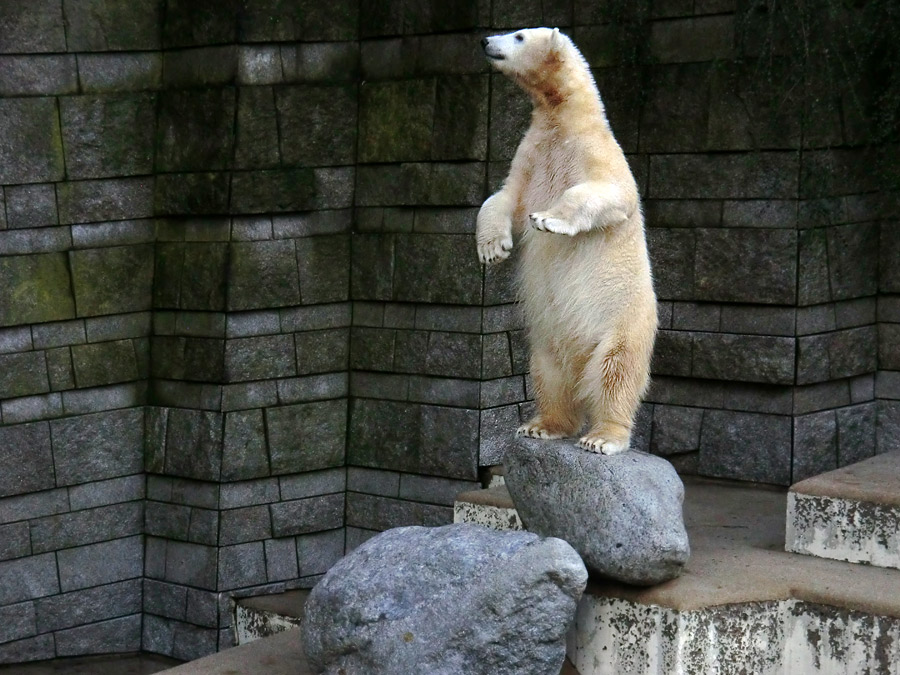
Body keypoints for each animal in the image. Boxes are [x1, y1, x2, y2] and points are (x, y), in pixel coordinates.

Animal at [474, 29, 656, 456]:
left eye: (519, 35)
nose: (486, 39)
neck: (562, 117)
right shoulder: (532, 155)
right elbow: (504, 197)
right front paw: (492, 248)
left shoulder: (594, 151)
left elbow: (609, 192)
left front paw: (548, 219)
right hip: (548, 338)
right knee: (548, 373)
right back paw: (543, 425)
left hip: (624, 320)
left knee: (615, 372)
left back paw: (603, 437)